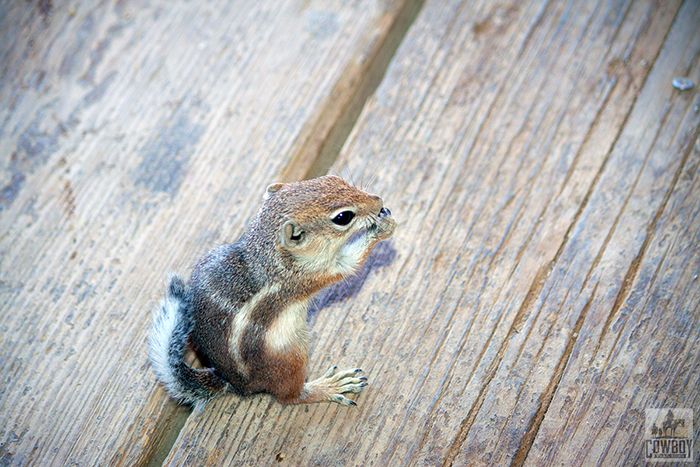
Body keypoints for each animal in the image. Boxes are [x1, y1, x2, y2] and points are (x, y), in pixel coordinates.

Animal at [148, 176, 396, 410]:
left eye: (335, 179)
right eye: (343, 217)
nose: (379, 202)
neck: (270, 251)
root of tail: (238, 385)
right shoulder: (311, 274)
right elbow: (351, 262)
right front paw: (384, 227)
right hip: (293, 355)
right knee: (289, 396)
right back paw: (326, 387)